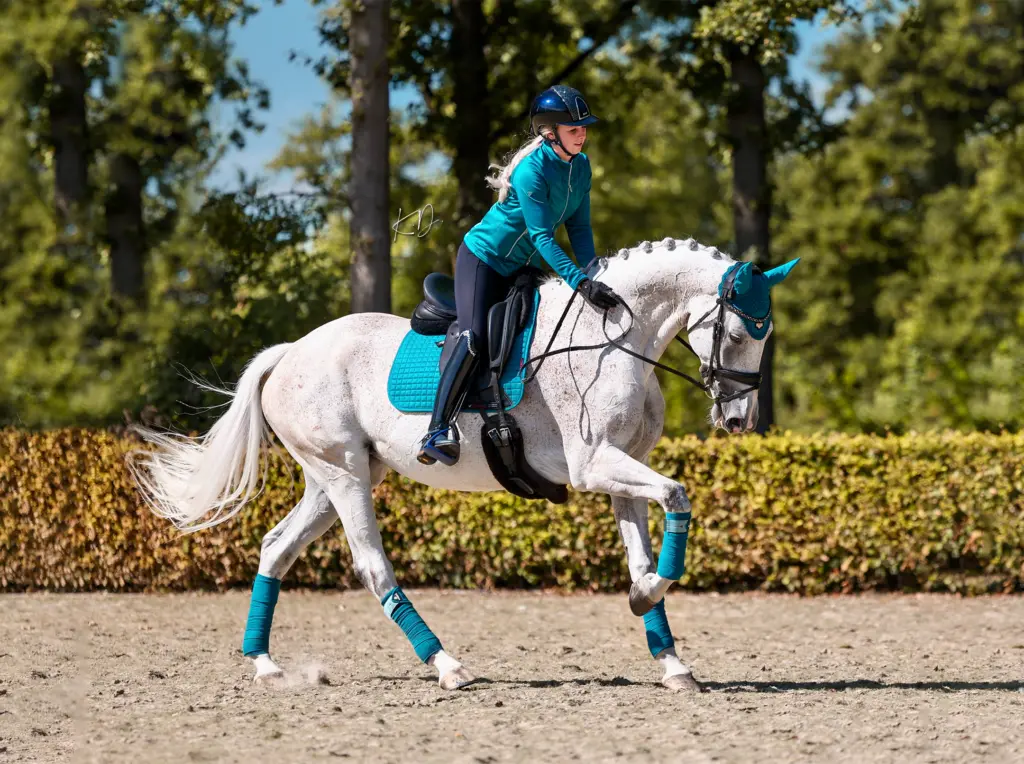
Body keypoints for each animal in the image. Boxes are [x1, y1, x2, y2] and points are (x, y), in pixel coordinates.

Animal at [128, 236, 798, 692]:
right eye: (740, 333)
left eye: (765, 335)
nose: (739, 419)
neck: (614, 338)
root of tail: (292, 351)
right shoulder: (594, 465)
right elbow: (679, 496)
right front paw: (647, 600)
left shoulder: (623, 471)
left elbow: (644, 550)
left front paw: (669, 655)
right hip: (344, 475)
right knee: (372, 566)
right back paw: (447, 665)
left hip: (335, 478)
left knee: (275, 547)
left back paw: (266, 664)